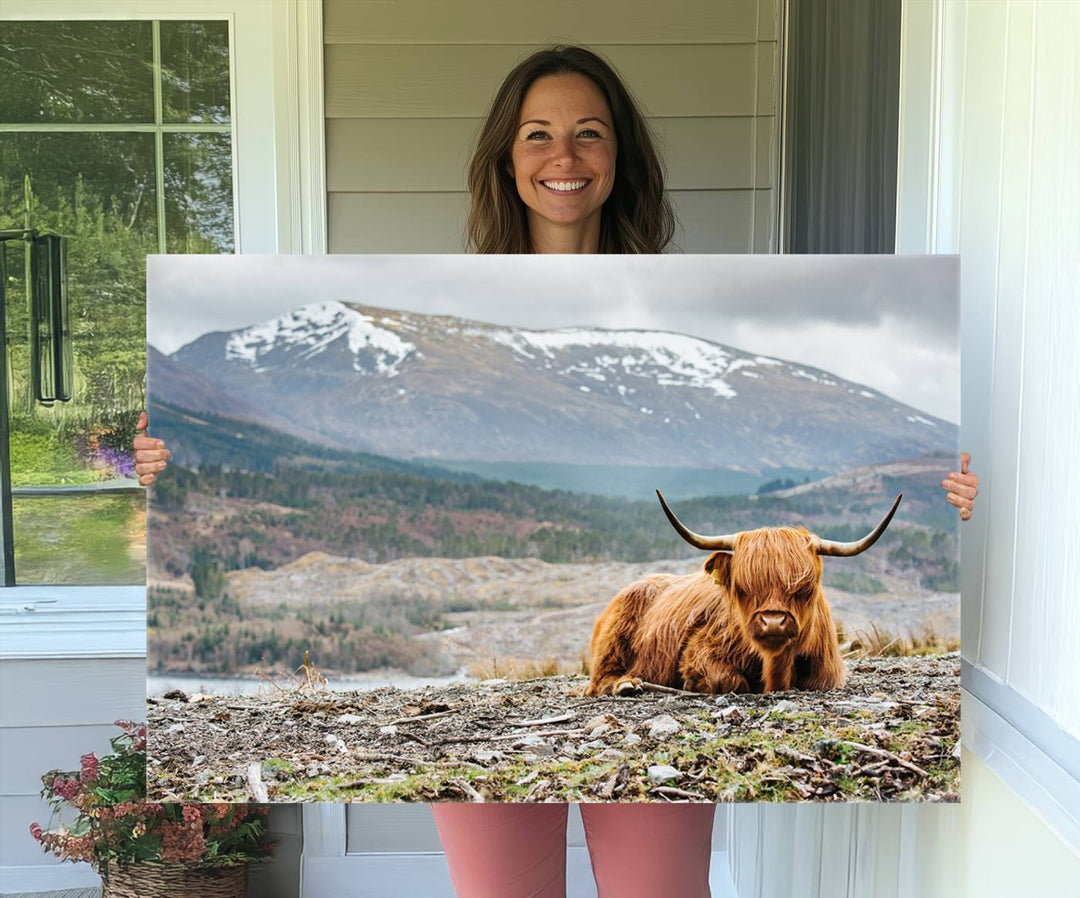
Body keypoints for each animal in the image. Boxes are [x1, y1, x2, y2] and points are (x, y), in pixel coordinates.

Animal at [583, 492, 902, 695]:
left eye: (804, 587)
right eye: (743, 587)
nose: (773, 622)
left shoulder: (827, 674)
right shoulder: (700, 651)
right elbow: (729, 680)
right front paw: (693, 685)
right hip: (613, 640)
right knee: (599, 679)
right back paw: (626, 685)